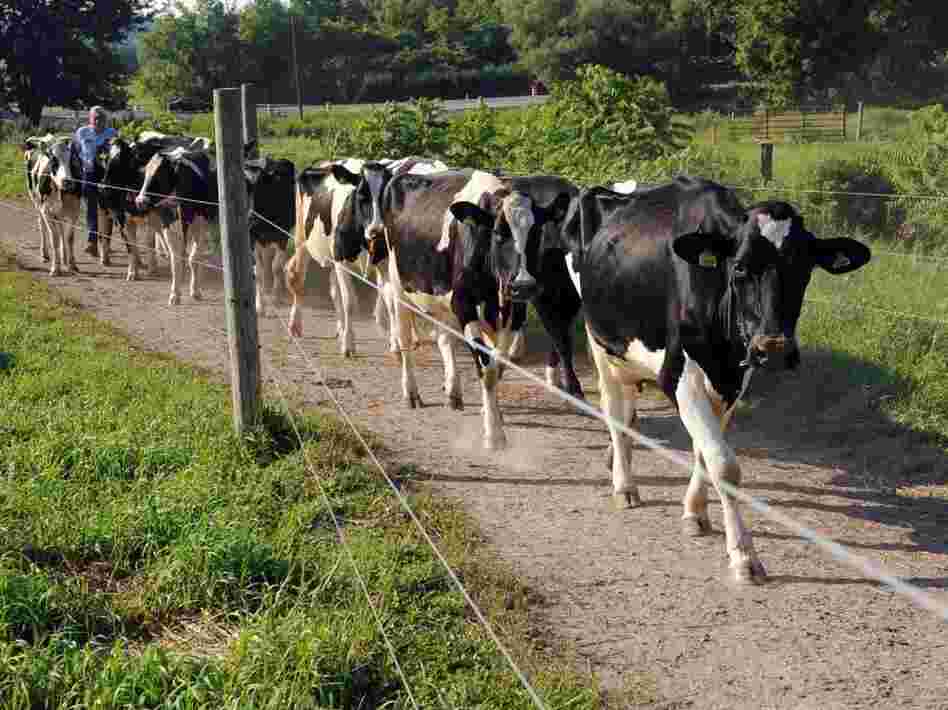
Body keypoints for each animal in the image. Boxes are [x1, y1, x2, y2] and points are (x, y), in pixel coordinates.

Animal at [23, 134, 83, 275]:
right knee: (42, 226)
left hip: (59, 212)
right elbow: (54, 238)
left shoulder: (74, 211)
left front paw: (72, 264)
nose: (67, 181)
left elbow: (69, 237)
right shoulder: (47, 212)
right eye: (53, 160)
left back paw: (64, 258)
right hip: (36, 201)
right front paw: (56, 268)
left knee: (61, 230)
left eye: (72, 160)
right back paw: (45, 254)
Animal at [537, 175, 872, 583]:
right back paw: (624, 485)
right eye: (740, 268)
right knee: (615, 414)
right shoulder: (681, 375)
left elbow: (704, 450)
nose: (774, 348)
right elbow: (724, 464)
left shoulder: (734, 381)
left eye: (804, 270)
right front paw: (744, 556)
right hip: (601, 341)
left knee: (629, 413)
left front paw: (695, 512)